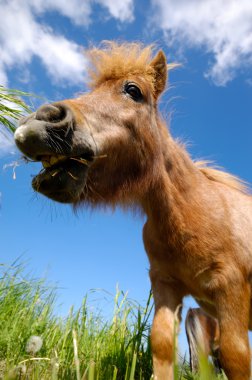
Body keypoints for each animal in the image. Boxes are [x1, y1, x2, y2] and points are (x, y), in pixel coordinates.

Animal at [14, 42, 252, 380]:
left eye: (133, 90)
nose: (39, 122)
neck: (191, 209)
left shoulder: (230, 291)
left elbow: (236, 355)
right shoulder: (166, 286)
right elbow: (162, 345)